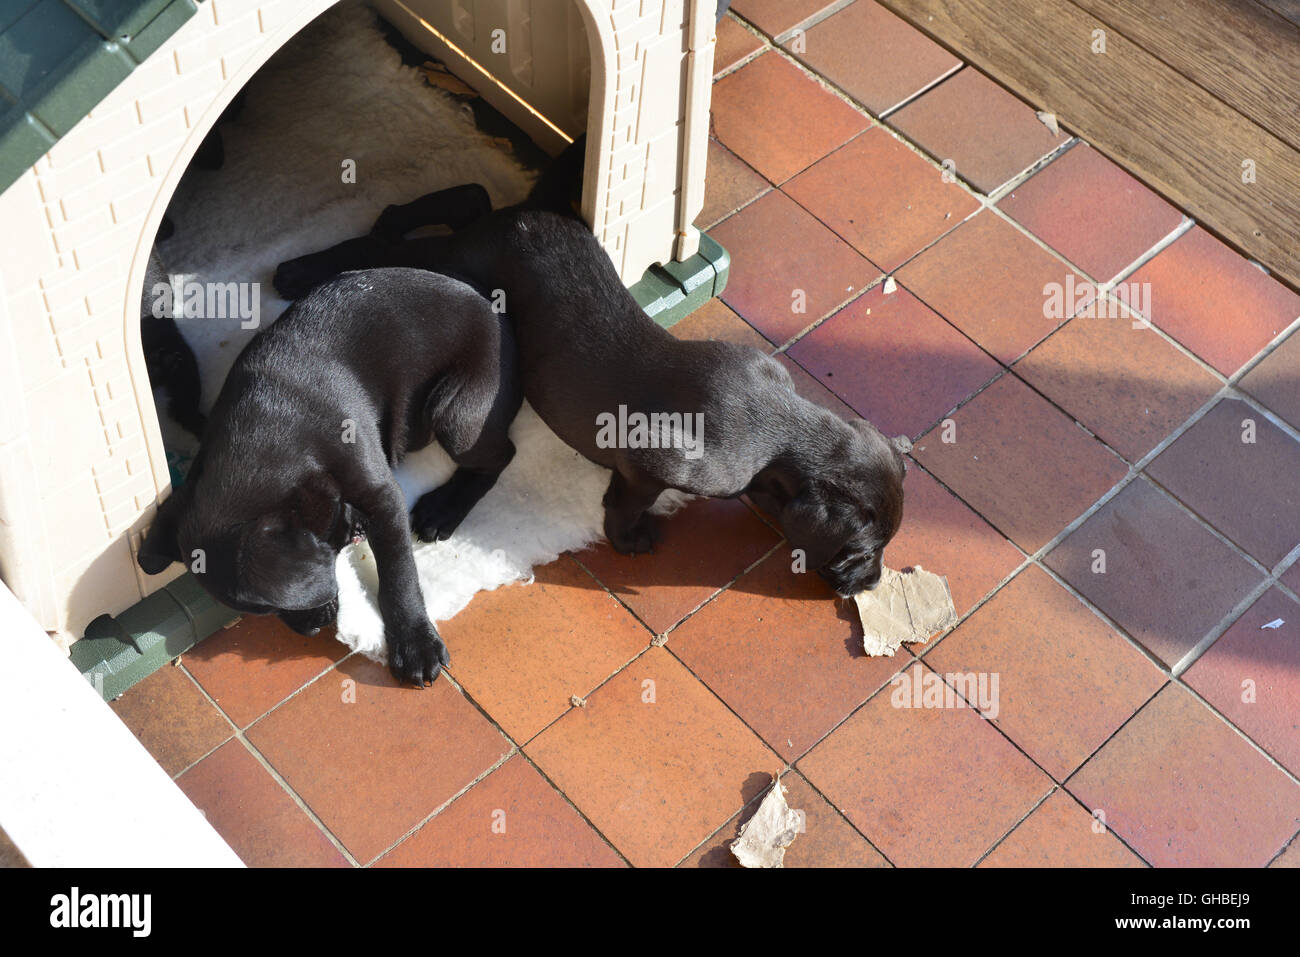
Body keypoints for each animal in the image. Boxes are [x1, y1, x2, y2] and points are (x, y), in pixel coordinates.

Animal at [133, 265, 517, 686]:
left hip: (455, 413)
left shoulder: (382, 494)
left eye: (268, 607)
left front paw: (415, 643)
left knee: (500, 456)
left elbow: (398, 572)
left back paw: (442, 511)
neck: (268, 432)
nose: (312, 629)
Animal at [274, 171, 904, 595]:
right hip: (458, 272)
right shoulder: (652, 459)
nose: (872, 582)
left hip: (476, 241)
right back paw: (304, 268)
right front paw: (633, 540)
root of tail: (530, 215)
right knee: (399, 245)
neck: (782, 431)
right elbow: (626, 504)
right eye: (859, 549)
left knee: (468, 199)